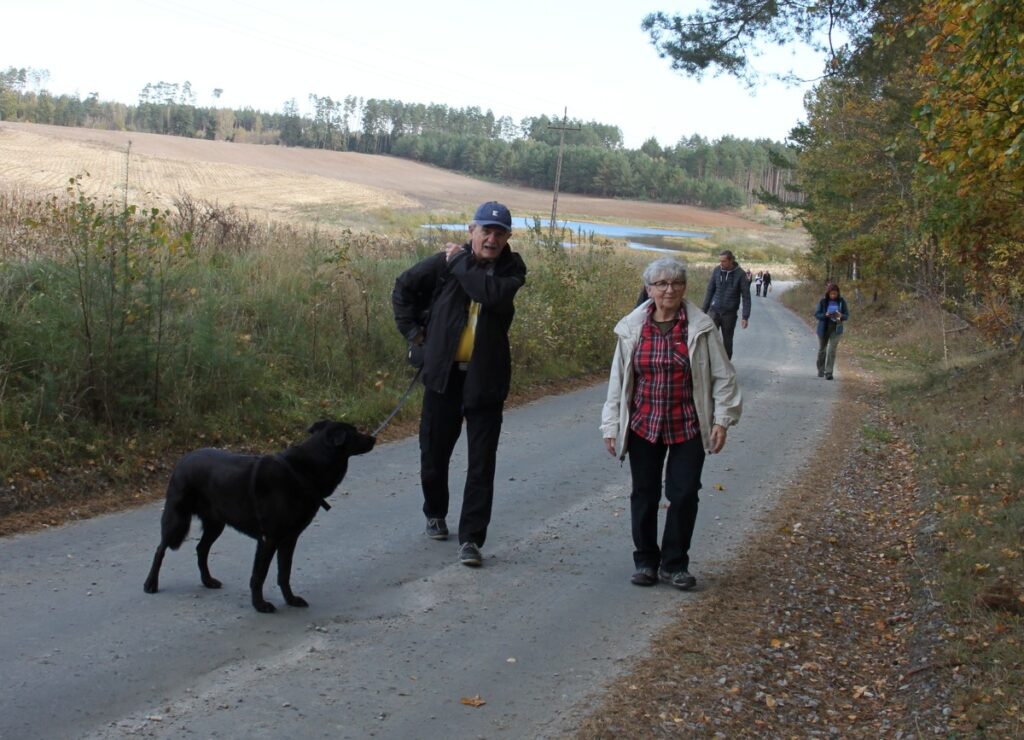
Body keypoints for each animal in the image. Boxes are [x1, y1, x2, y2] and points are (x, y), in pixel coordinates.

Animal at [144, 421, 376, 614]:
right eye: (355, 432)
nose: (373, 438)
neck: (304, 470)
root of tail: (182, 460)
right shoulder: (268, 539)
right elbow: (259, 576)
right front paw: (260, 605)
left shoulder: (289, 539)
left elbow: (284, 573)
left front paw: (291, 600)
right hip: (177, 521)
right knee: (160, 549)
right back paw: (150, 584)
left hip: (216, 523)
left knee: (201, 549)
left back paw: (208, 581)